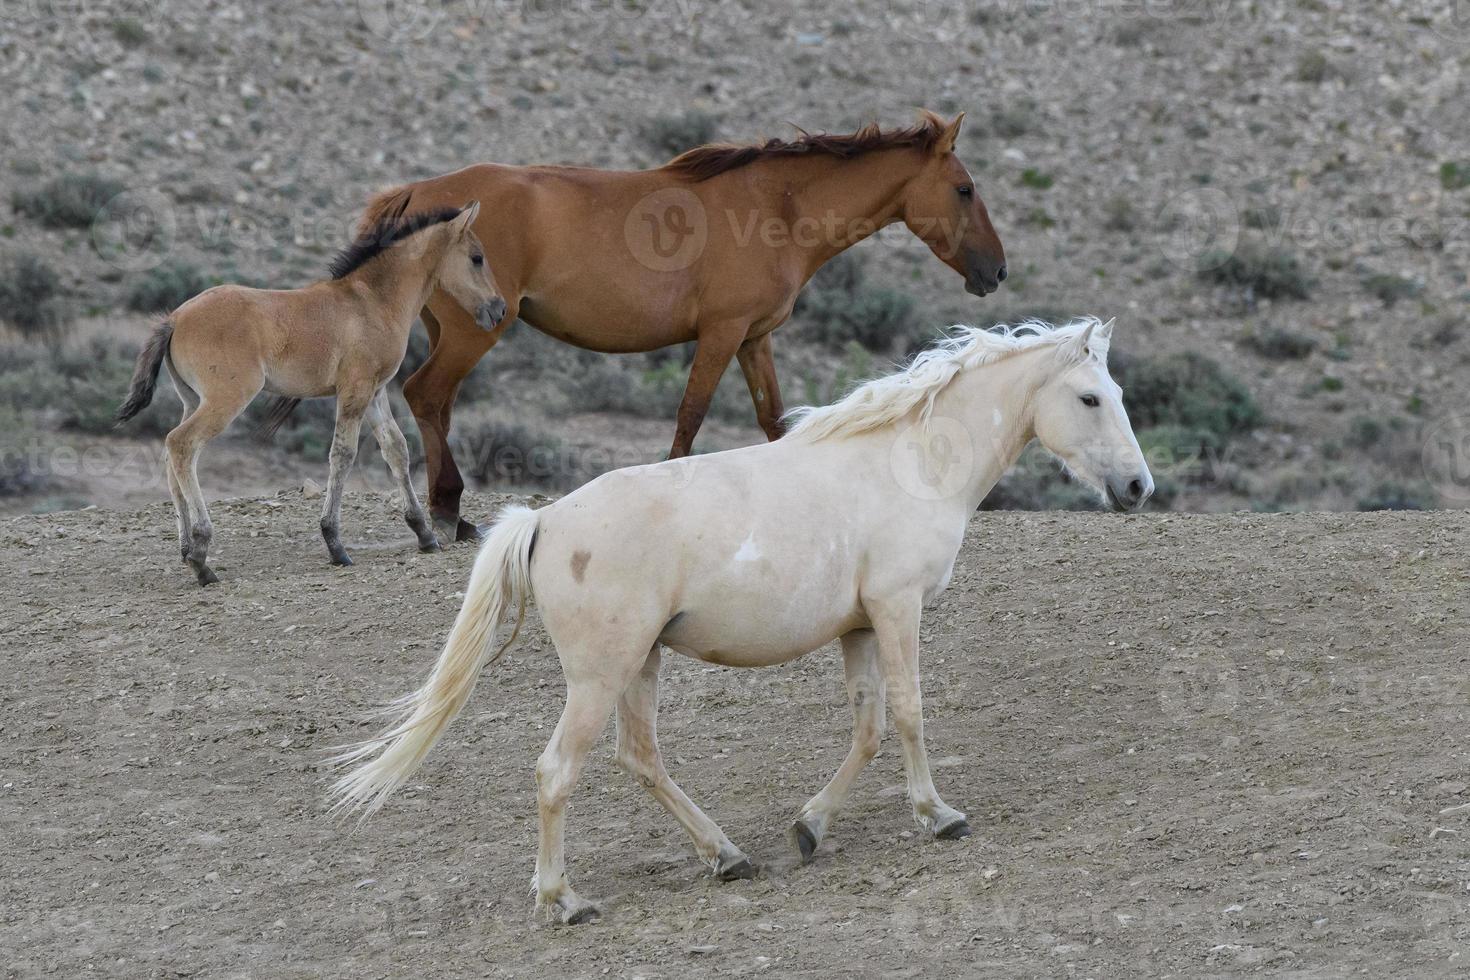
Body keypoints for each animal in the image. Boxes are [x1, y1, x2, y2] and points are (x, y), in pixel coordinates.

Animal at [333, 315, 1146, 928]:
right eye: (1090, 398)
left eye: (1116, 392)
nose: (1139, 487)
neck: (908, 464)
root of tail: (545, 521)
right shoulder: (898, 609)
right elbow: (911, 713)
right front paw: (939, 816)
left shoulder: (859, 628)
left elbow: (869, 728)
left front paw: (811, 828)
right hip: (600, 677)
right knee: (557, 770)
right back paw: (565, 900)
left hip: (641, 664)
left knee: (641, 758)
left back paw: (727, 856)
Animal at [364, 110, 1011, 540]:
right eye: (964, 189)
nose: (998, 271)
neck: (779, 208)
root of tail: (417, 192)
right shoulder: (721, 334)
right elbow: (690, 417)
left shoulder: (754, 339)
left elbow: (774, 423)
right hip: (474, 332)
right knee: (426, 395)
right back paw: (446, 512)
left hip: (450, 331)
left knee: (438, 406)